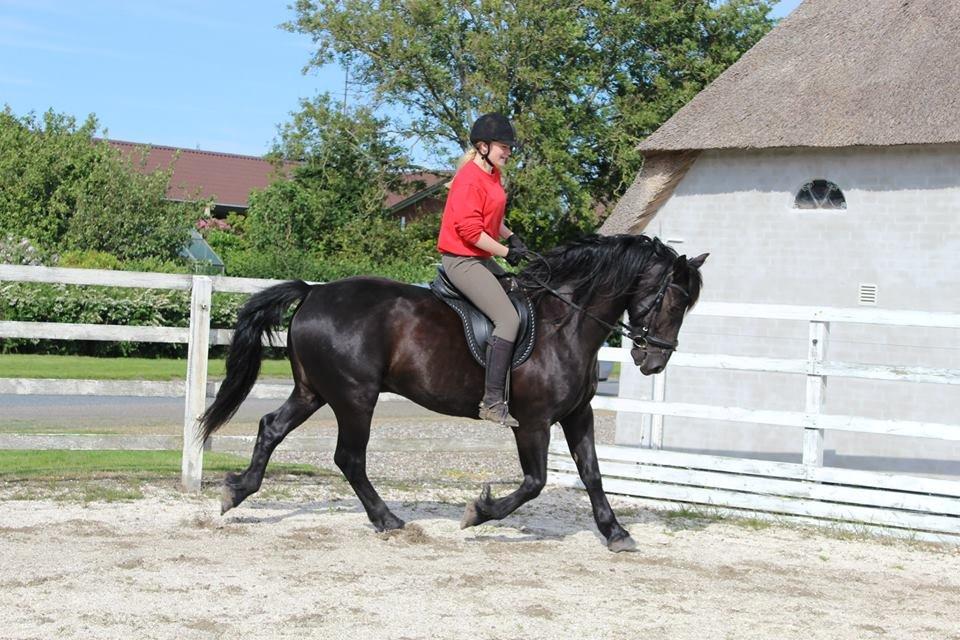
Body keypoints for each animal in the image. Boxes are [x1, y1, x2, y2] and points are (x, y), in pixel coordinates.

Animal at [201, 235, 704, 552]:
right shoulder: (533, 422)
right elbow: (535, 482)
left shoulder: (578, 415)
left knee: (271, 428)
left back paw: (236, 491)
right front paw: (478, 512)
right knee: (349, 458)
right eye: (676, 300)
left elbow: (593, 475)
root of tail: (312, 293)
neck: (566, 324)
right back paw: (387, 520)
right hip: (355, 397)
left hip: (314, 391)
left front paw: (616, 533)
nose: (654, 362)